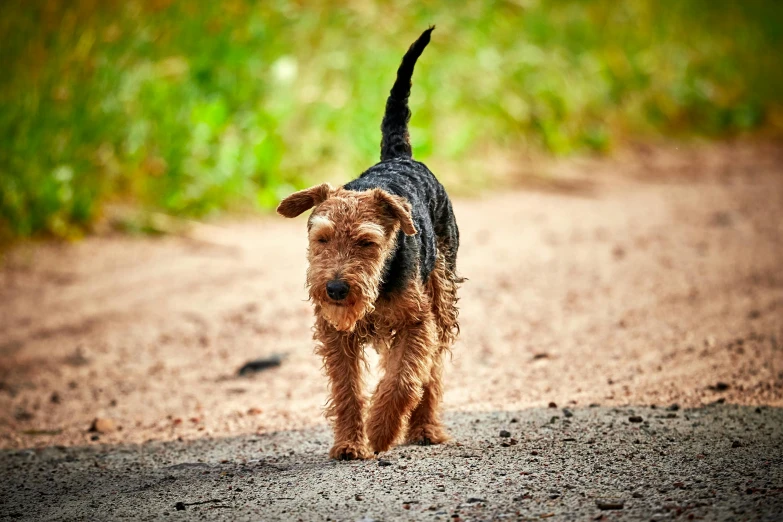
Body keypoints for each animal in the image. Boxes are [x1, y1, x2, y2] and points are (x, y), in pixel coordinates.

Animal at [278, 27, 462, 460]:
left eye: (367, 242)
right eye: (321, 237)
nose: (335, 289)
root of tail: (400, 155)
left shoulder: (417, 322)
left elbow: (404, 380)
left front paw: (379, 432)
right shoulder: (336, 333)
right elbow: (346, 390)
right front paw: (350, 444)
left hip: (442, 299)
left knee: (431, 371)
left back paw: (425, 429)